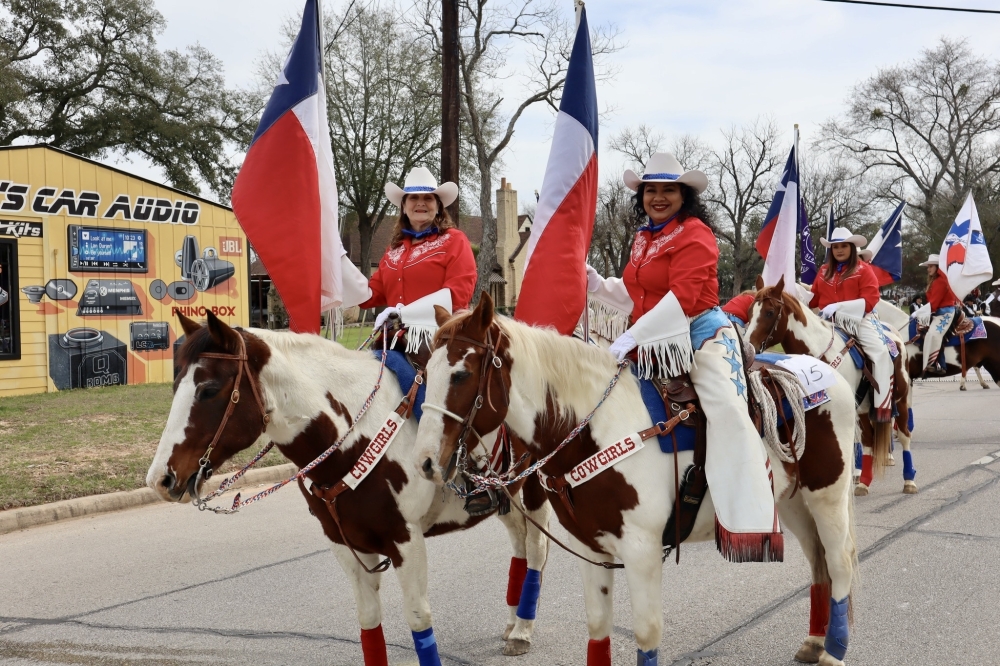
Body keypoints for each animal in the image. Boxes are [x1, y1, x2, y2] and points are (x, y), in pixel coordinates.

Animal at [146, 312, 556, 664]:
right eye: (175, 385)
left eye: (209, 389)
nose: (161, 479)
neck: (355, 439)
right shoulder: (346, 545)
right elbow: (368, 622)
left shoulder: (406, 541)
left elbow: (418, 618)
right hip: (506, 497)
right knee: (520, 542)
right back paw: (512, 622)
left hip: (535, 487)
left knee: (537, 548)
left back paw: (522, 630)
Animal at [414, 296, 860, 664]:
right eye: (425, 370)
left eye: (461, 374)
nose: (424, 462)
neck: (593, 430)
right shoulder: (591, 549)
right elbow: (598, 629)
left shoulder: (642, 552)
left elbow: (647, 635)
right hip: (791, 501)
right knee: (818, 560)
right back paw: (814, 642)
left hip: (828, 496)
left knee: (839, 562)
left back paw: (833, 652)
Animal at [748, 278, 912, 496]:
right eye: (750, 312)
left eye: (769, 312)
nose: (748, 346)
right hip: (863, 409)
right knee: (869, 441)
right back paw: (863, 483)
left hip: (900, 400)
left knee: (904, 436)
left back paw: (909, 480)